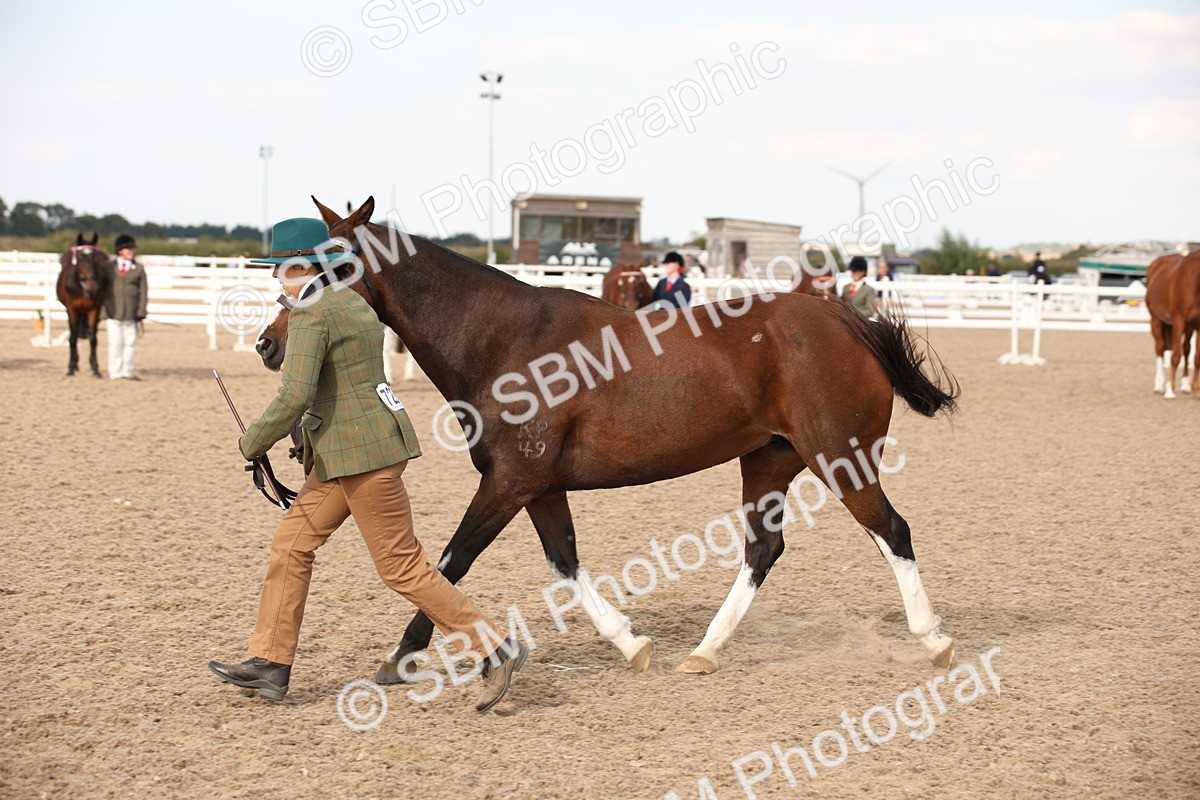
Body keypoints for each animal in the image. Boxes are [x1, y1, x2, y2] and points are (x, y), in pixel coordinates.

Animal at [56, 234, 111, 377]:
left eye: (96, 258)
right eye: (80, 257)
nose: (92, 287)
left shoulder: (94, 310)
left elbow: (93, 339)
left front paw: (96, 369)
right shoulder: (72, 310)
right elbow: (72, 338)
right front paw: (71, 367)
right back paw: (75, 365)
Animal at [256, 196, 960, 682]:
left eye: (335, 267)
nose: (268, 344)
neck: (504, 341)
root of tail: (845, 320)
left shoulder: (509, 482)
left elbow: (451, 561)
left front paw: (400, 657)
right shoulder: (537, 487)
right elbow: (564, 563)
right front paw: (632, 643)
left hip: (840, 458)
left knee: (892, 532)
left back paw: (934, 640)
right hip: (768, 462)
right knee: (764, 550)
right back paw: (703, 652)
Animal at [1146, 252, 1200, 399]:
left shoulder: (1198, 326)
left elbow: (1196, 358)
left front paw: (1196, 391)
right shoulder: (1178, 321)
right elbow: (1175, 357)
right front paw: (1169, 390)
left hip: (1186, 327)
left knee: (1185, 349)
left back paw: (1185, 386)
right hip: (1156, 320)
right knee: (1160, 348)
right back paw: (1159, 385)